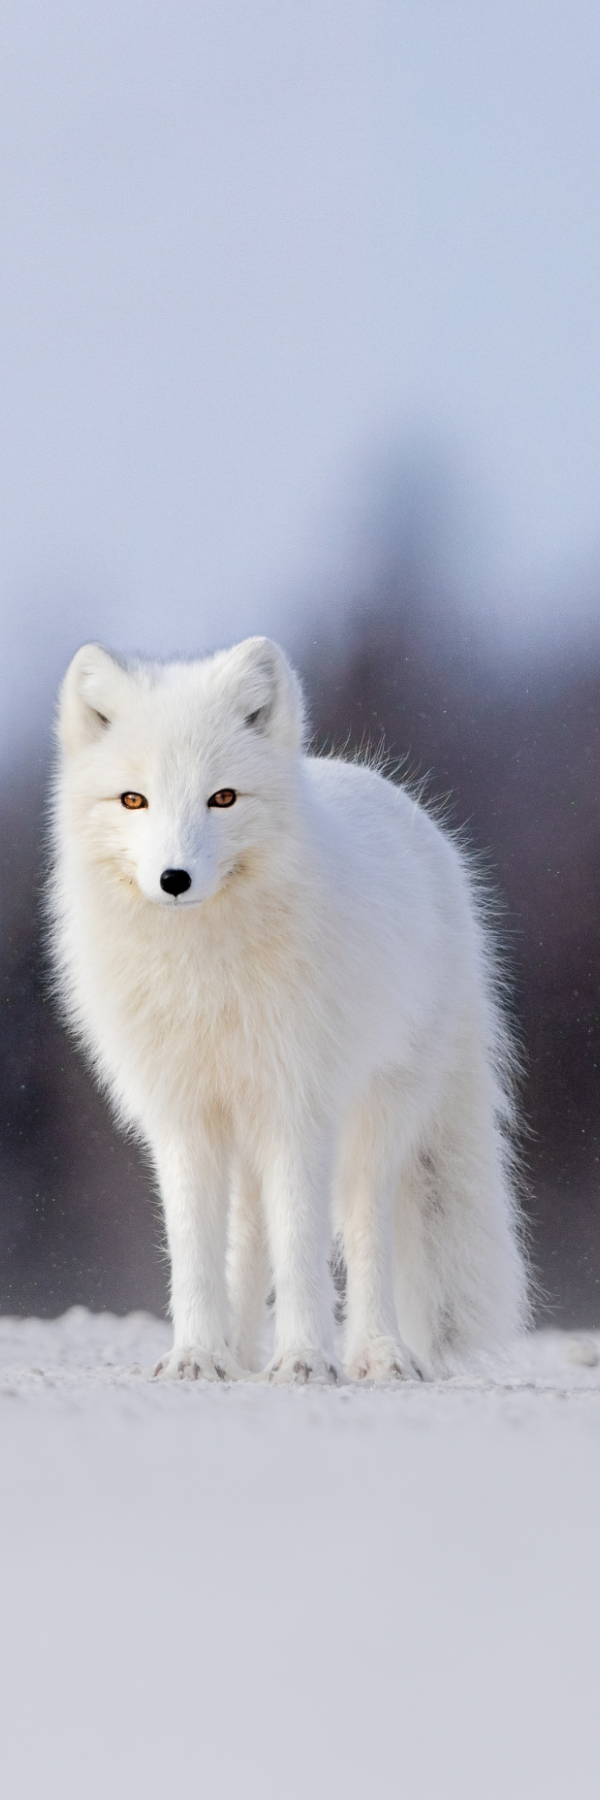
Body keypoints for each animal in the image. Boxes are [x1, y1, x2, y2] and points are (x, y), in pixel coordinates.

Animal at [49, 634, 527, 1383]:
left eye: (222, 798)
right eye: (134, 800)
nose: (175, 879)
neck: (205, 975)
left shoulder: (298, 1105)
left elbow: (302, 1244)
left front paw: (304, 1358)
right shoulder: (182, 1115)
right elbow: (195, 1251)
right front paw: (197, 1355)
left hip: (374, 1119)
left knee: (364, 1230)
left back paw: (378, 1353)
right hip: (245, 1129)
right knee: (247, 1238)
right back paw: (239, 1353)